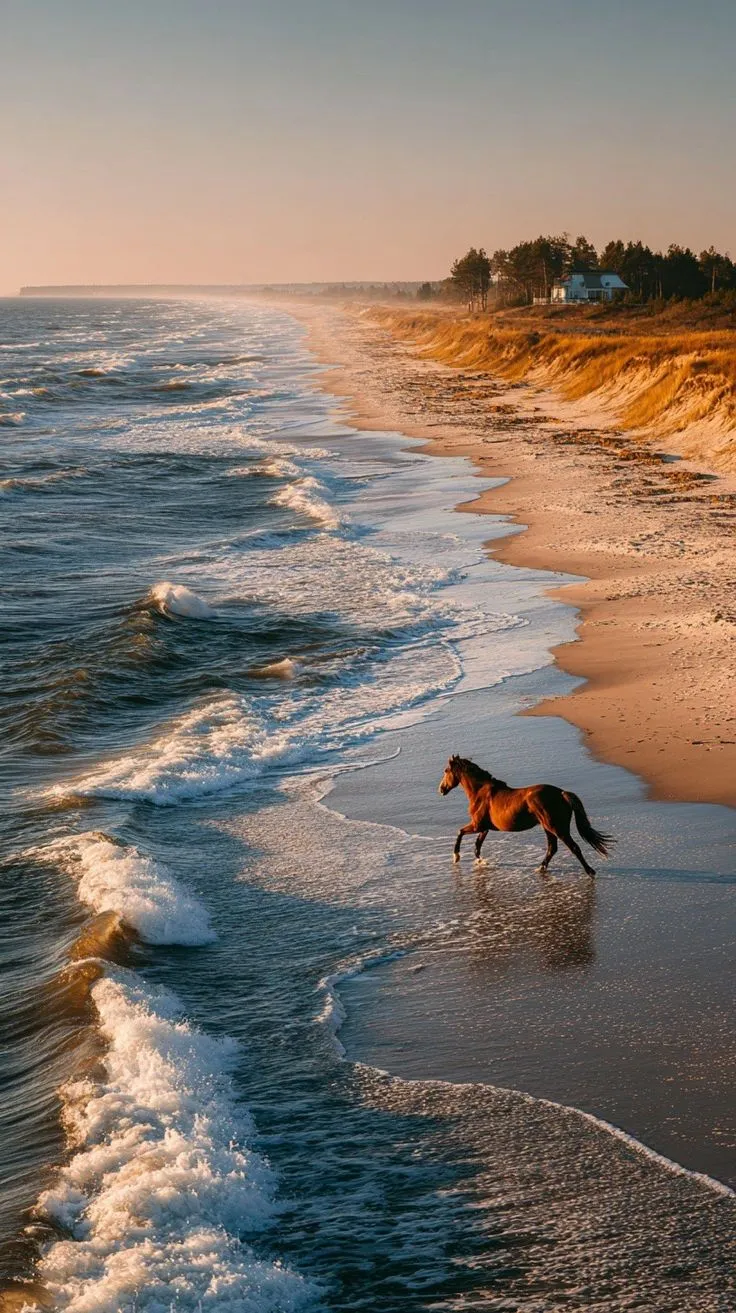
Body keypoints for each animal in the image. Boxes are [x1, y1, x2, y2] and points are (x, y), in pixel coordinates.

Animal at [438, 755, 614, 876]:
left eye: (446, 771)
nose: (441, 789)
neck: (480, 792)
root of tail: (561, 794)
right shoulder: (484, 828)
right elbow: (477, 846)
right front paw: (480, 861)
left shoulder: (477, 825)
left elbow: (460, 832)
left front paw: (456, 857)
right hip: (548, 828)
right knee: (552, 848)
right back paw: (540, 868)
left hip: (556, 828)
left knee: (573, 847)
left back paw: (590, 872)